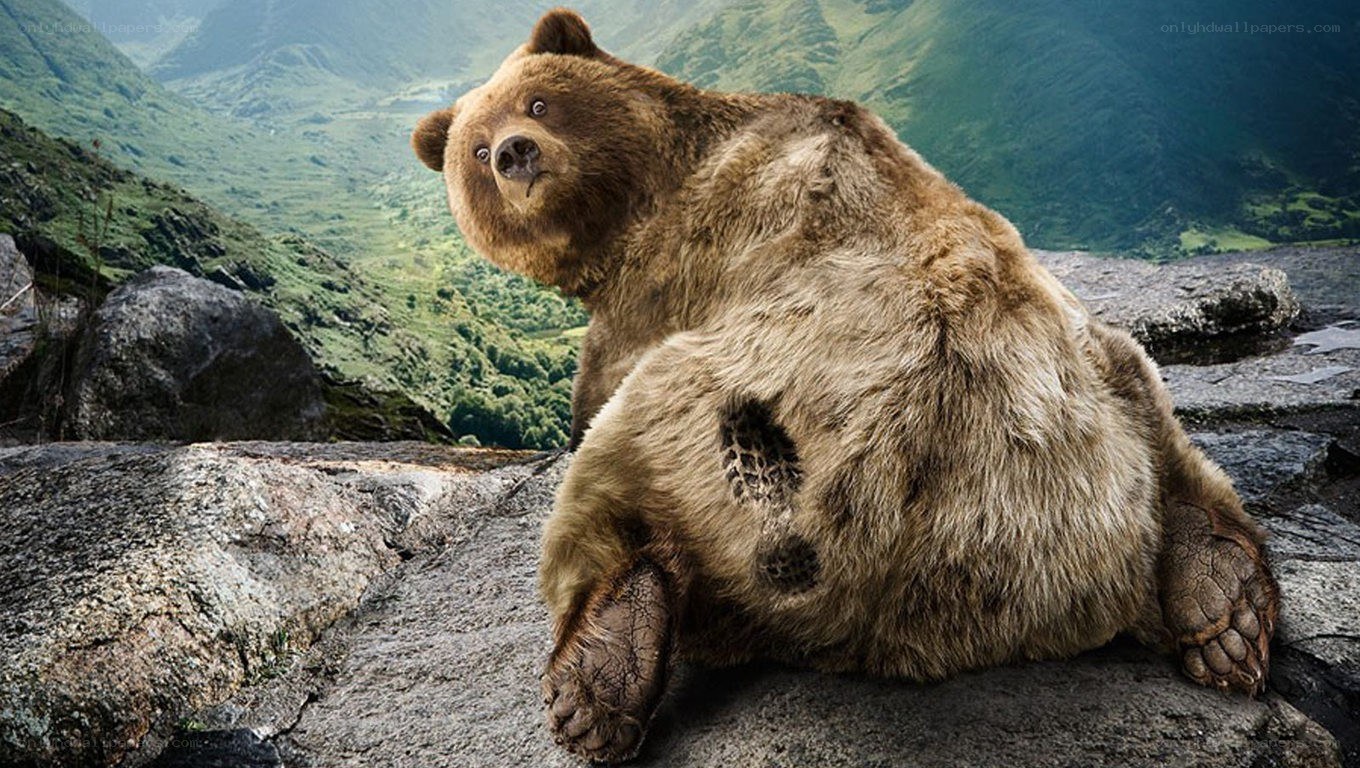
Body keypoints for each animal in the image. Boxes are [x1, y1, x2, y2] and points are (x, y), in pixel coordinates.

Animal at [413, 9, 1280, 763]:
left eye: (537, 101)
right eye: (476, 150)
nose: (516, 153)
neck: (645, 192)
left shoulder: (669, 278)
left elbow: (594, 395)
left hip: (733, 421)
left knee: (615, 472)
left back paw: (599, 674)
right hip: (1085, 396)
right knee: (1158, 419)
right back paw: (1222, 605)